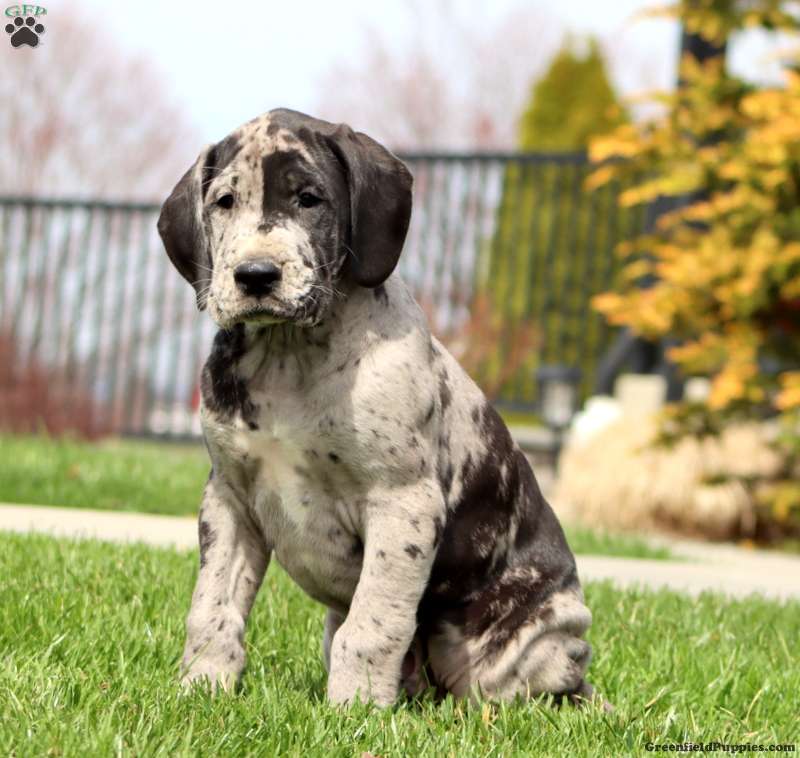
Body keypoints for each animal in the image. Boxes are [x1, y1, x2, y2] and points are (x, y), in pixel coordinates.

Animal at [157, 108, 596, 706]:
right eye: (224, 201)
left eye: (310, 199)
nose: (255, 275)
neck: (289, 357)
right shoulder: (229, 499)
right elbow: (212, 609)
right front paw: (203, 688)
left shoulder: (402, 503)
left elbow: (374, 624)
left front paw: (355, 709)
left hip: (521, 649)